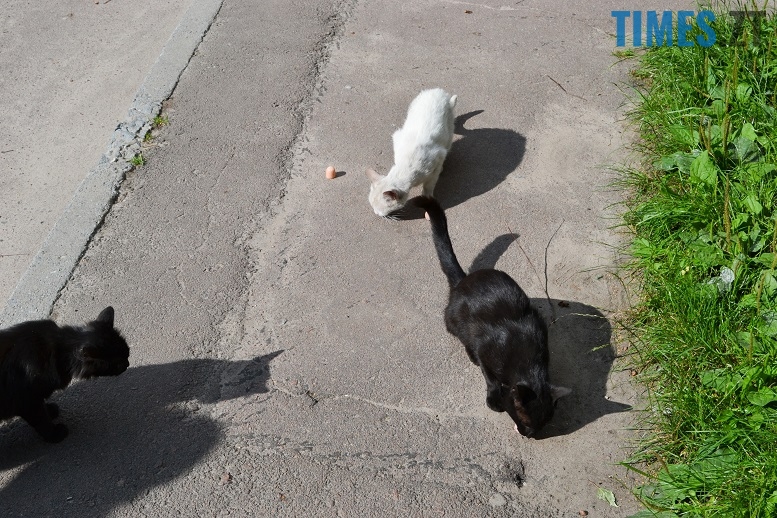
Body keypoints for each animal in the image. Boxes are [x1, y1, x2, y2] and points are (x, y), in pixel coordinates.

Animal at [0, 306, 130, 443]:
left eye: (128, 353)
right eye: (119, 364)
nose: (128, 364)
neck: (60, 350)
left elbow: (43, 410)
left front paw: (50, 410)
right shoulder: (29, 403)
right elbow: (42, 422)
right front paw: (55, 434)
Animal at [367, 88, 457, 217]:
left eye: (380, 209)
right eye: (372, 205)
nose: (376, 213)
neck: (406, 166)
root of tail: (438, 90)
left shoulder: (438, 157)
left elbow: (429, 186)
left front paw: (428, 203)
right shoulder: (397, 138)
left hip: (449, 132)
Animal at [415, 197, 570, 437]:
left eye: (543, 424)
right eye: (525, 421)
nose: (530, 435)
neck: (528, 364)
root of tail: (464, 280)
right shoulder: (485, 350)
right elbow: (489, 378)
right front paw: (493, 399)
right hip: (455, 321)